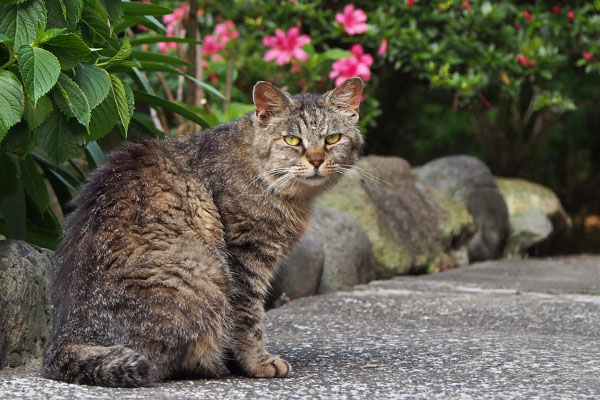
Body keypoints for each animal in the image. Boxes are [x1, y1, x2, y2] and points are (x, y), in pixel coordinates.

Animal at [42, 76, 366, 386]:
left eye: (332, 138)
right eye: (292, 139)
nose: (316, 160)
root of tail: (66, 338)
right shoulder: (244, 258)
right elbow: (249, 318)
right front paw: (257, 363)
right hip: (207, 268)